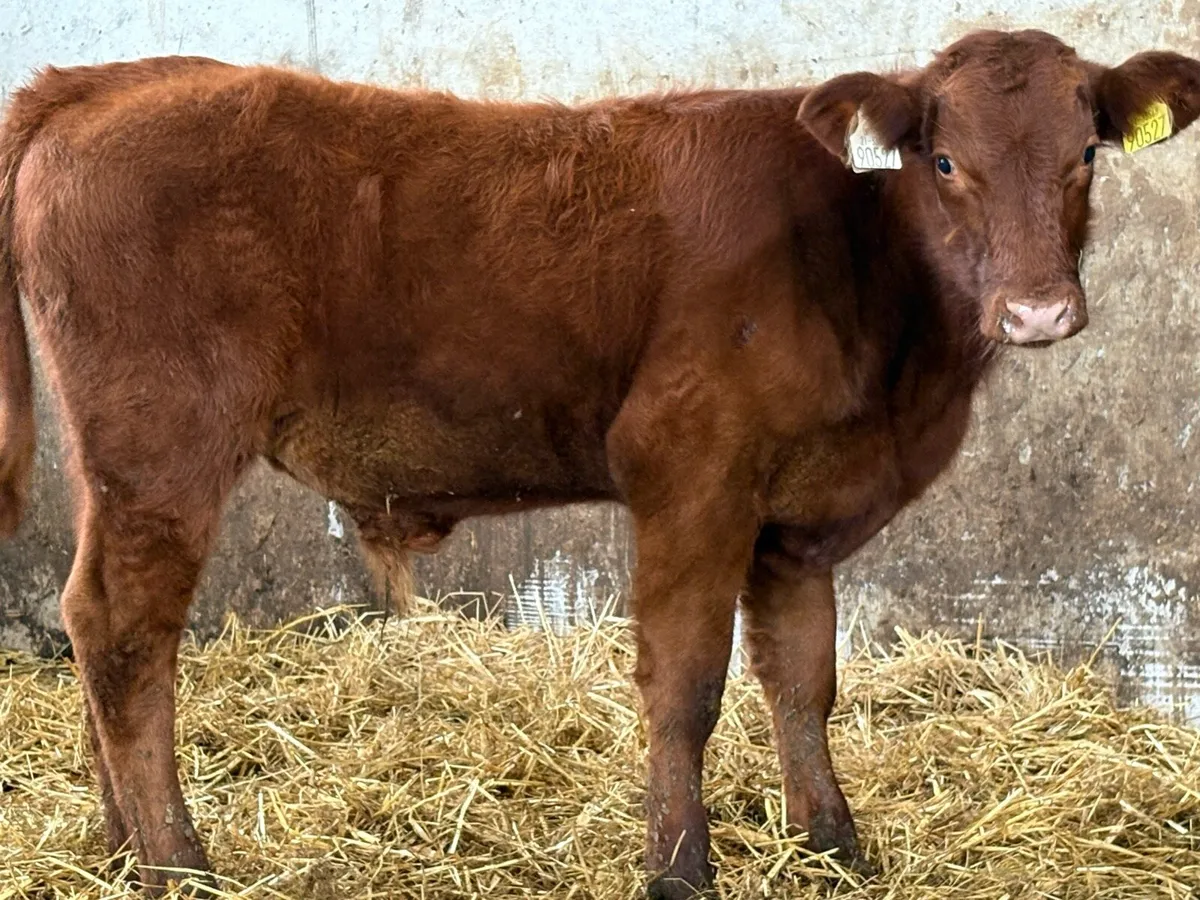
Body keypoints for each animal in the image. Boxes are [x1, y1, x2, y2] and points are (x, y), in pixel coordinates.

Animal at [0, 27, 1197, 898]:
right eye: (946, 162)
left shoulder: (797, 518)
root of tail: (104, 84)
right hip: (162, 446)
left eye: (1086, 154)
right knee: (123, 628)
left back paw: (116, 852)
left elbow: (803, 678)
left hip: (123, 463)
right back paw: (176, 864)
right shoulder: (688, 467)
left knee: (93, 621)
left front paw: (834, 847)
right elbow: (686, 682)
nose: (1038, 311)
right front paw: (680, 869)